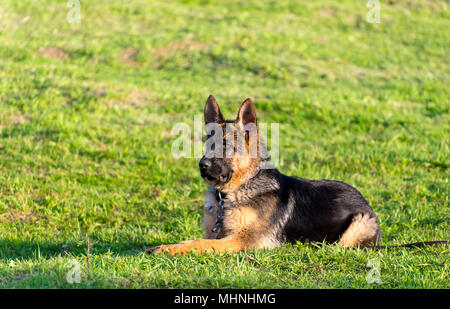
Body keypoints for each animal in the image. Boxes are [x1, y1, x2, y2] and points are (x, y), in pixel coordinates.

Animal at [149, 95, 446, 254]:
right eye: (206, 143)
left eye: (225, 146)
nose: (202, 165)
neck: (235, 192)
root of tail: (366, 203)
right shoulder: (219, 234)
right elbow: (197, 240)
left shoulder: (239, 241)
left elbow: (196, 243)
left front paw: (166, 249)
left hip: (356, 225)